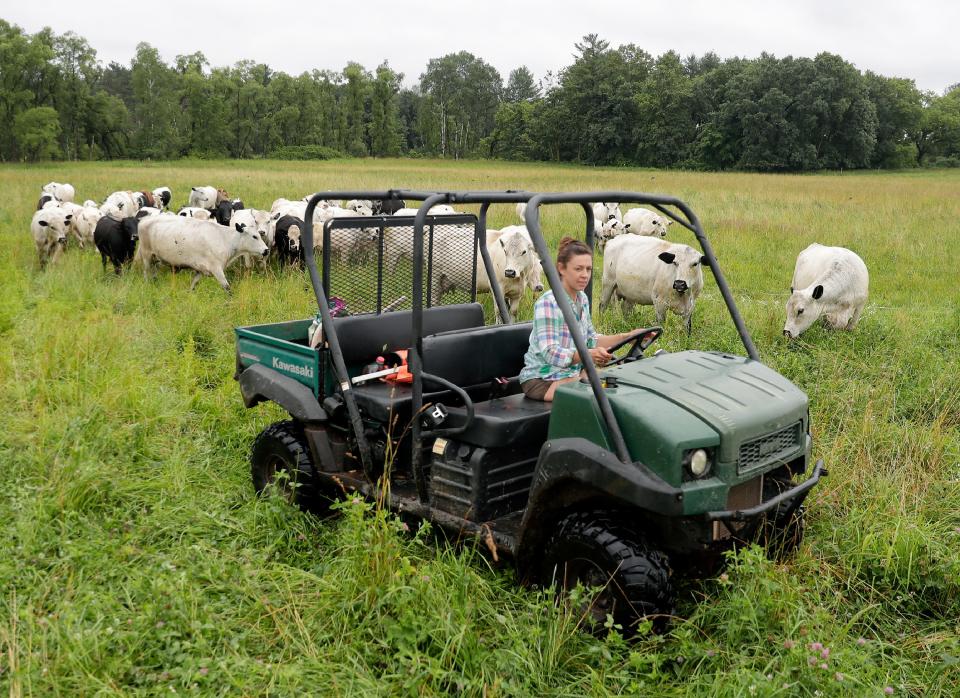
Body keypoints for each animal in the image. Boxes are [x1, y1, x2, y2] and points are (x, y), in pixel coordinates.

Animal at [136, 215, 270, 290]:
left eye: (259, 235)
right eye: (254, 236)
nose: (266, 250)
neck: (224, 238)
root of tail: (144, 220)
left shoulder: (199, 271)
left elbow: (192, 287)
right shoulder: (217, 269)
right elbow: (227, 288)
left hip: (156, 260)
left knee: (153, 274)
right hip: (147, 256)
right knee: (146, 273)